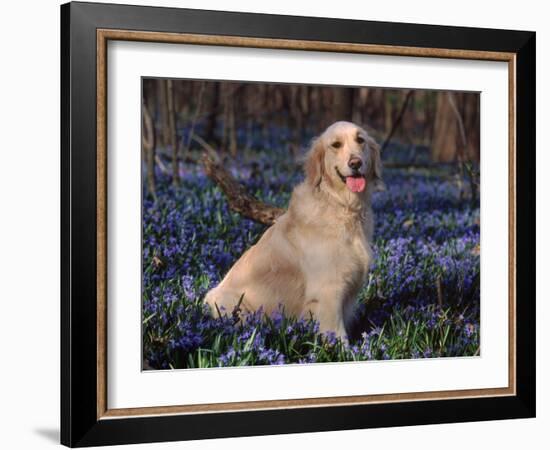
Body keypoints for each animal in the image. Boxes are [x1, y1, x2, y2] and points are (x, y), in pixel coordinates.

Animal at [204, 121, 384, 340]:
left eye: (360, 140)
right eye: (336, 145)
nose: (356, 163)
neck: (341, 205)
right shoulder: (328, 291)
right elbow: (338, 335)